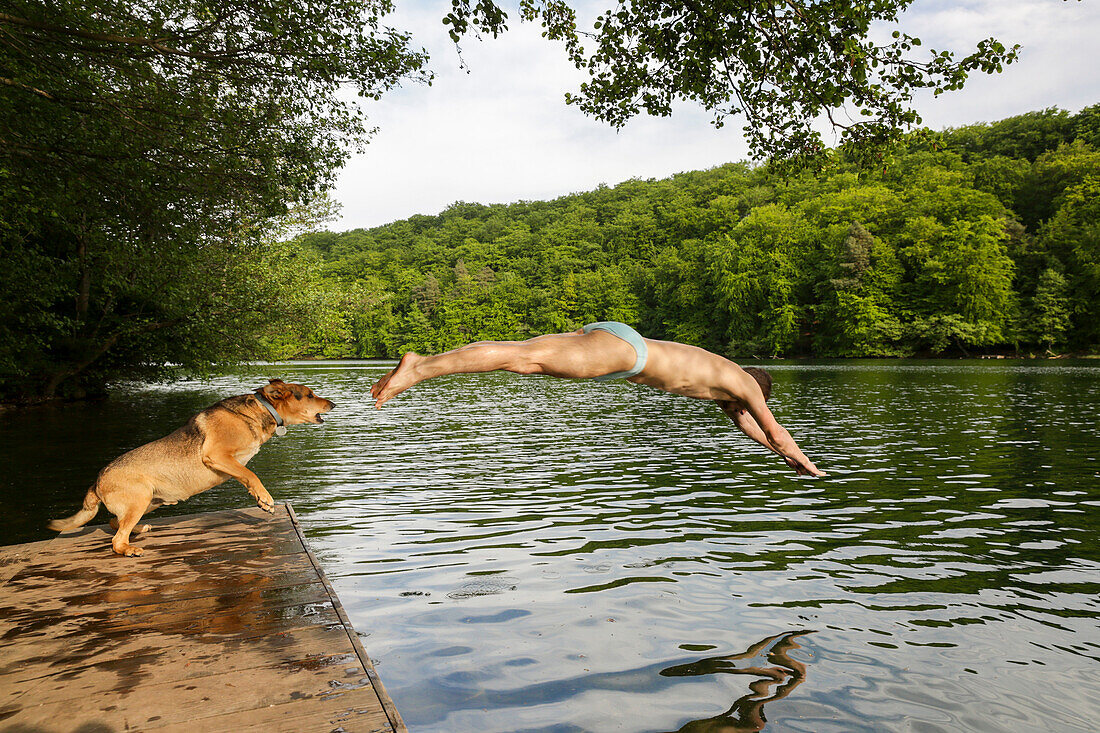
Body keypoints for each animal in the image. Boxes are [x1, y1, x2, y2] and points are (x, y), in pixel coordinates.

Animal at [48, 378, 330, 556]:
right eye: (310, 395)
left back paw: (138, 530)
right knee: (117, 540)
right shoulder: (217, 455)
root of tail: (96, 482)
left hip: (151, 501)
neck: (264, 410)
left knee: (113, 522)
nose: (333, 404)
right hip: (141, 498)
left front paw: (260, 500)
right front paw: (266, 499)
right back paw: (130, 549)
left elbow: (246, 476)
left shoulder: (231, 464)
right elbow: (252, 474)